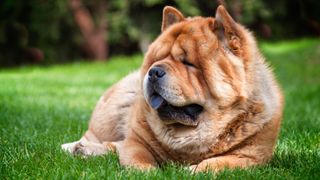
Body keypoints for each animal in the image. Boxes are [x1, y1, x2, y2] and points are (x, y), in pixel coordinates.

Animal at [61, 4, 284, 172]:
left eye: (188, 63)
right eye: (158, 59)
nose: (154, 71)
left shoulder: (251, 157)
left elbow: (216, 163)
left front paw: (191, 170)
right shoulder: (136, 141)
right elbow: (138, 157)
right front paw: (149, 173)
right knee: (101, 140)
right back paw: (76, 148)